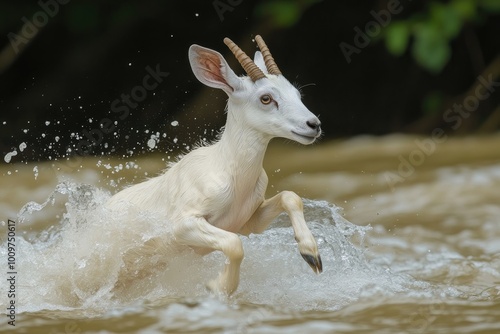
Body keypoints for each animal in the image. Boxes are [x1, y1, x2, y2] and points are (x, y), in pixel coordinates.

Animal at [107, 34, 322, 294]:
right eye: (266, 98)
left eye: (297, 94)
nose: (314, 125)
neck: (231, 173)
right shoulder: (182, 225)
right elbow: (234, 244)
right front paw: (218, 287)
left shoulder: (246, 222)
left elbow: (291, 196)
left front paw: (312, 256)